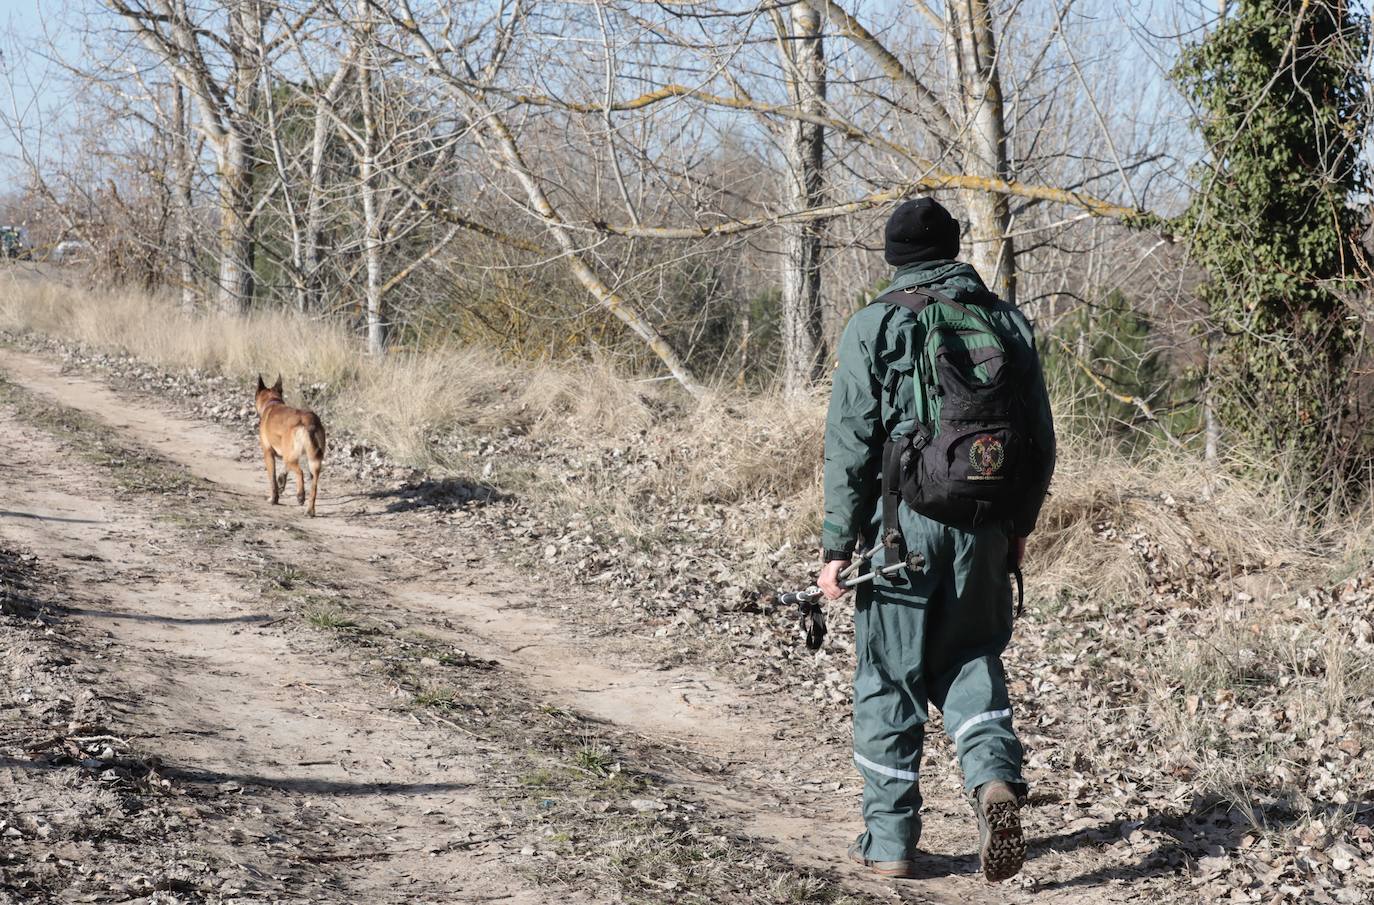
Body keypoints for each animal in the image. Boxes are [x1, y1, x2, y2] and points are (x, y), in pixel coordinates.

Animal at [254, 376, 325, 516]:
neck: (272, 403)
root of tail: (308, 421)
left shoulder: (268, 454)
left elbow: (272, 479)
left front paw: (274, 499)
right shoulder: (287, 454)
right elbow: (283, 471)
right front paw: (282, 481)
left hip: (293, 458)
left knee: (300, 472)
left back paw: (300, 495)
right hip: (313, 462)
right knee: (314, 485)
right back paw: (310, 510)